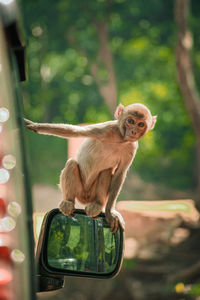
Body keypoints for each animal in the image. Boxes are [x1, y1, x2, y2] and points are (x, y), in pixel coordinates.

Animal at [24, 104, 156, 233]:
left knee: (106, 171)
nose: (133, 131)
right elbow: (74, 131)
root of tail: (85, 199)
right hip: (79, 190)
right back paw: (68, 202)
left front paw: (110, 212)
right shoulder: (105, 129)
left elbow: (120, 173)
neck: (120, 139)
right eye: (130, 121)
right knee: (72, 163)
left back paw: (97, 205)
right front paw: (34, 125)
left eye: (140, 124)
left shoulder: (132, 148)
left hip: (93, 194)